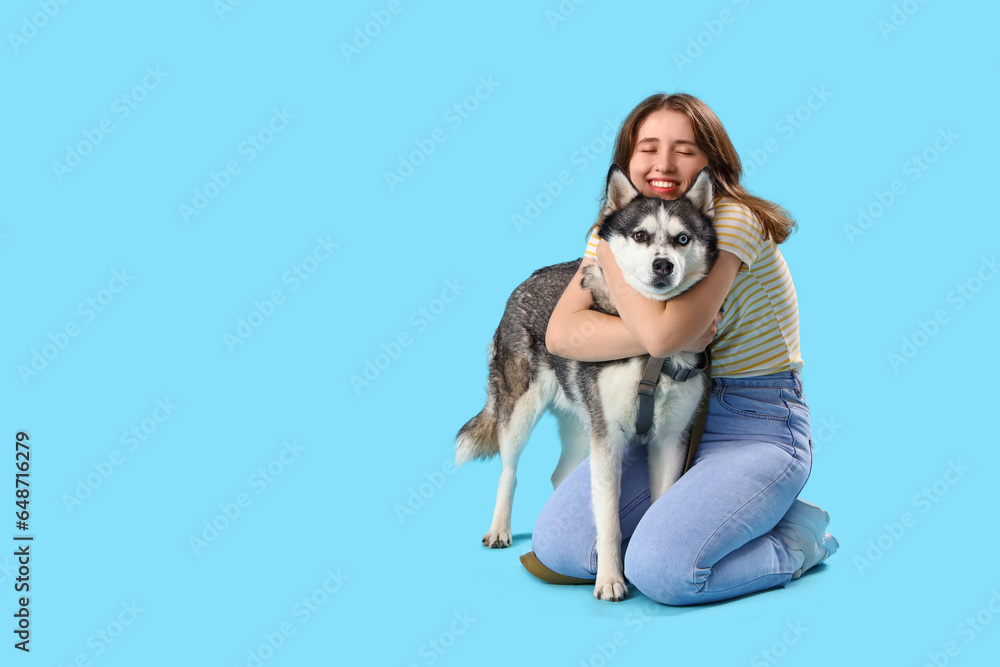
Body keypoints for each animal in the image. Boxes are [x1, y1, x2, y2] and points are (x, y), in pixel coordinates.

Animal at [454, 166, 720, 600]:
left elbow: (655, 507)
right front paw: (610, 580)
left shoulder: (670, 441)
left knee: (560, 475)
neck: (653, 351)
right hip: (520, 412)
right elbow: (608, 521)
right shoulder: (607, 439)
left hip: (581, 427)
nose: (664, 265)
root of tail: (527, 279)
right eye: (640, 235)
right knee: (509, 470)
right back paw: (499, 529)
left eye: (682, 239)